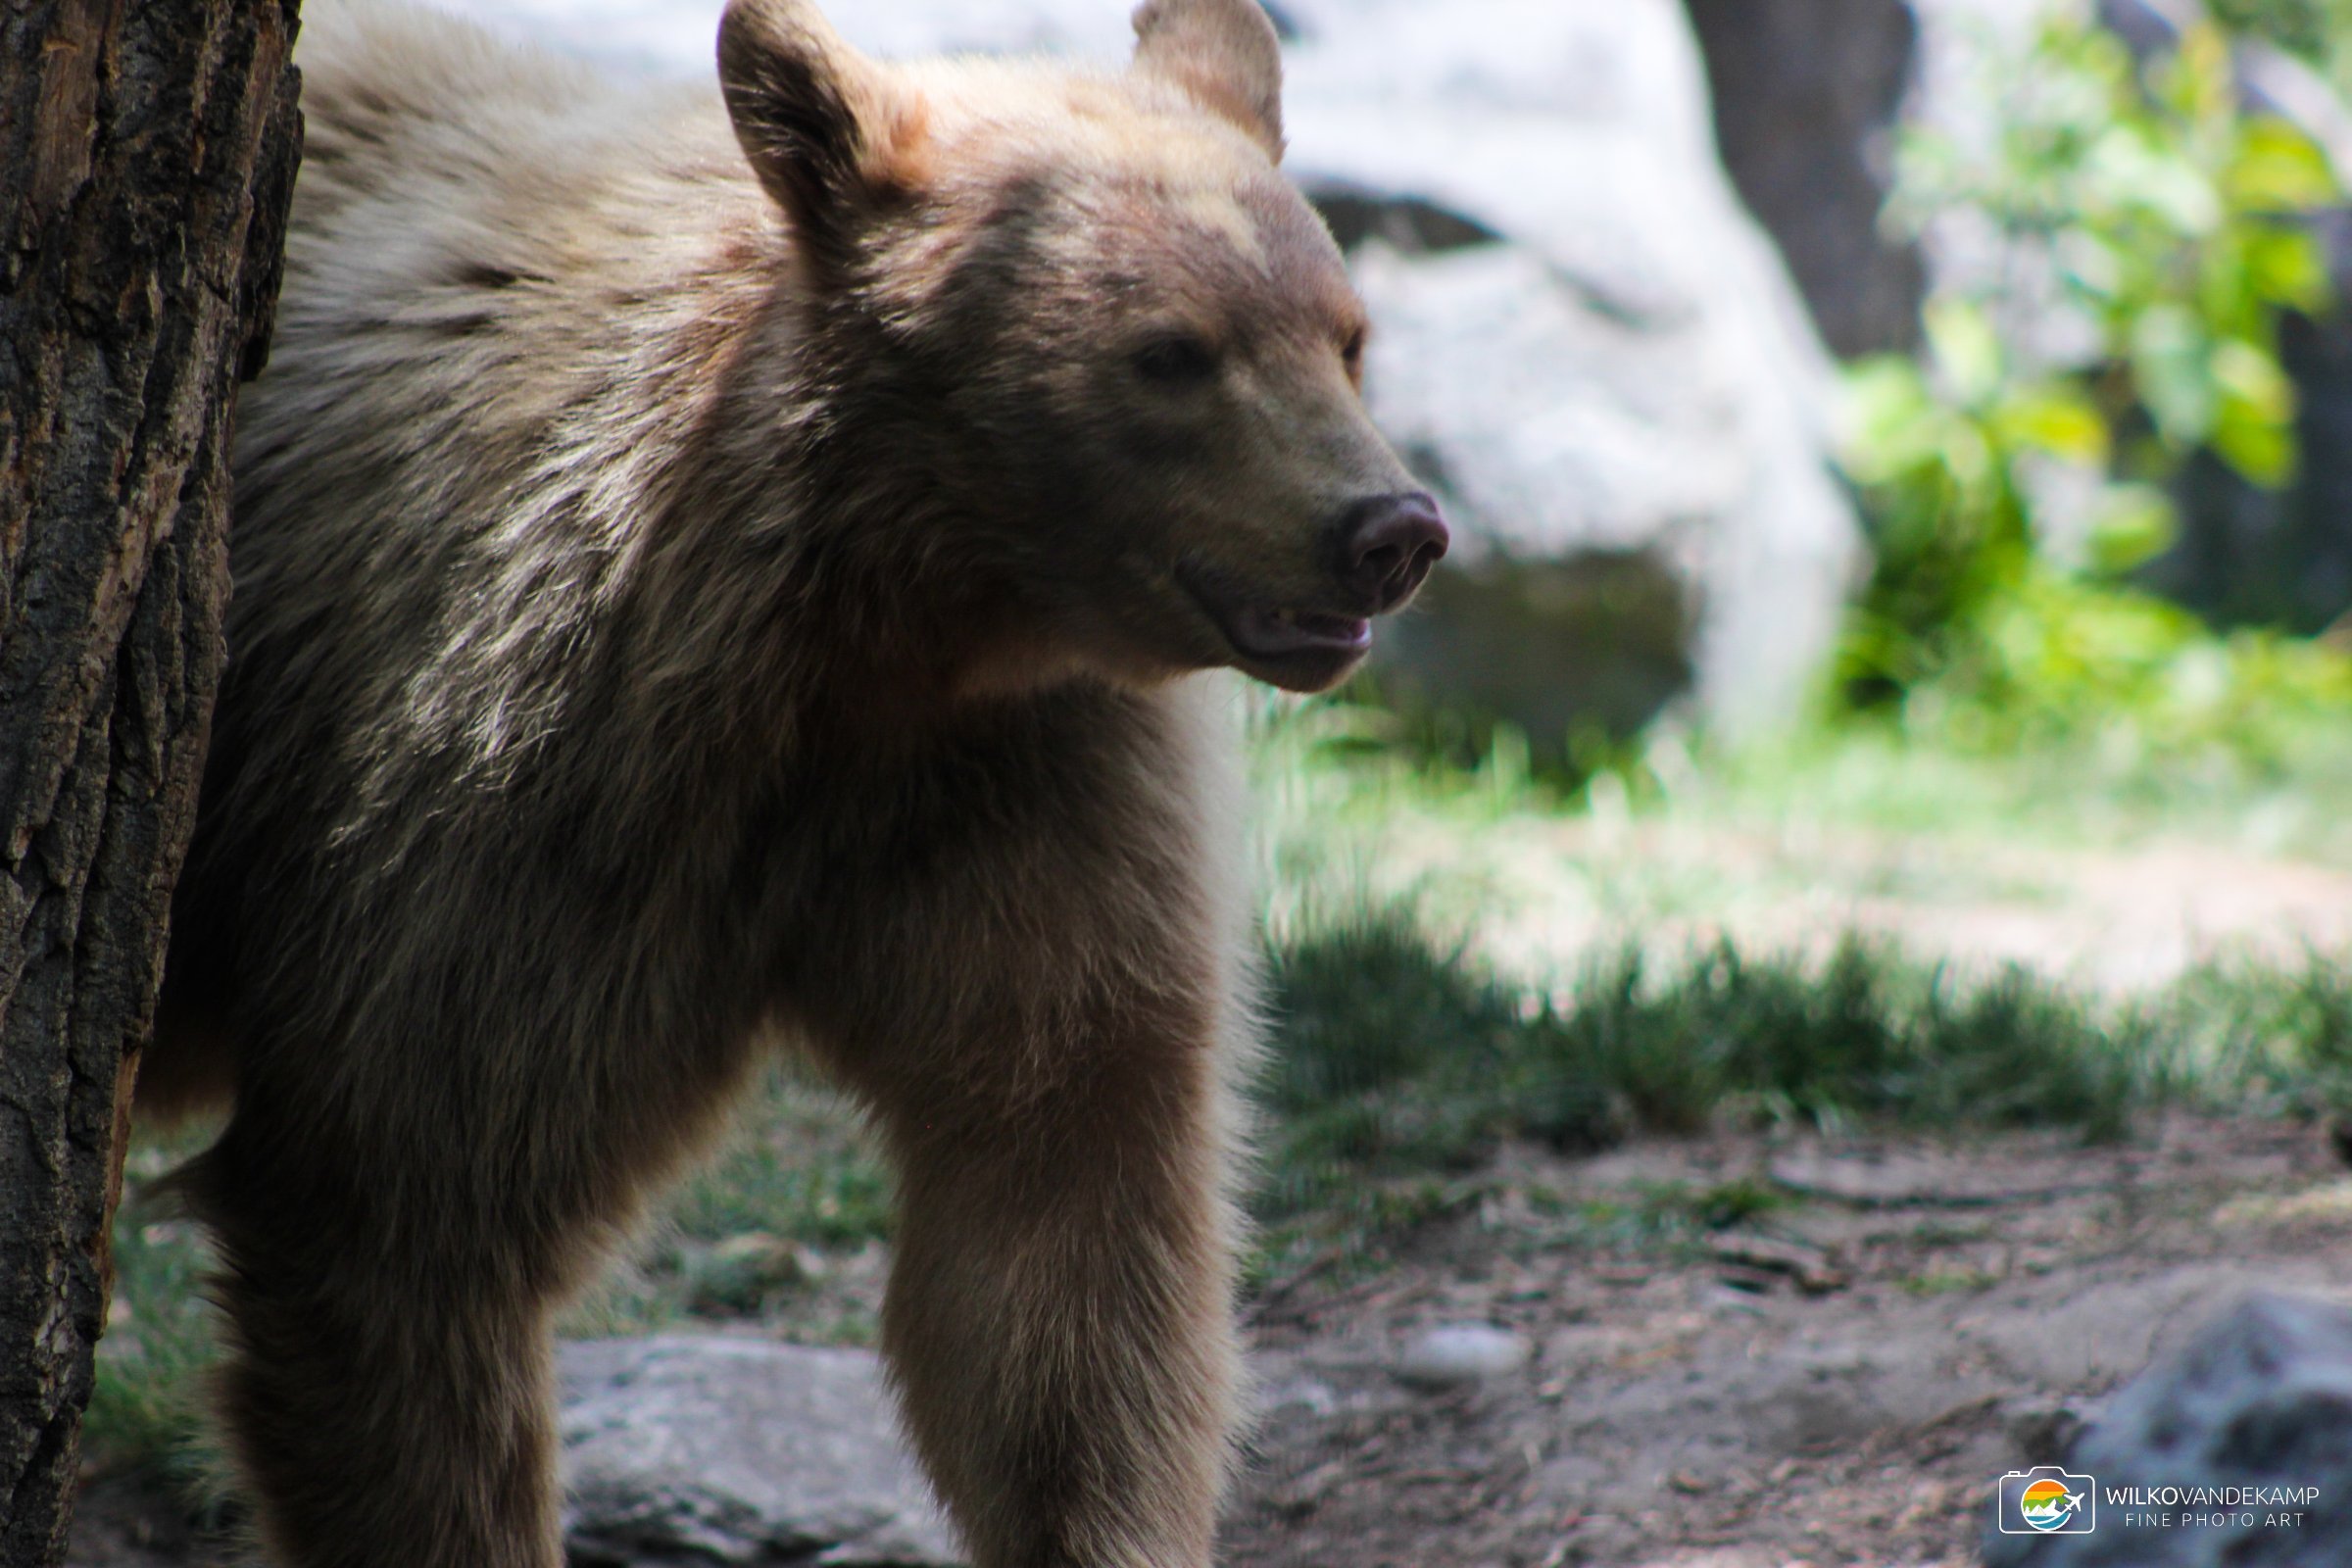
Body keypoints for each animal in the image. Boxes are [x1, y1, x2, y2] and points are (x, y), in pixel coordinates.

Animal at [143, 1, 1448, 1565]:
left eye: (1347, 337)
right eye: (1173, 353)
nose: (1387, 528)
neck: (885, 634)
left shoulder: (1023, 798)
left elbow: (1065, 1243)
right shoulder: (501, 791)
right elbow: (402, 1218)